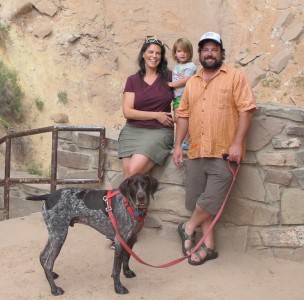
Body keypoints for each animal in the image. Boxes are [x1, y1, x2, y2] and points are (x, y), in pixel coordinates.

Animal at [25, 175, 159, 294]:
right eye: (133, 185)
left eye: (145, 184)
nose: (141, 197)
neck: (130, 205)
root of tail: (49, 195)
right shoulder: (119, 241)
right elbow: (116, 269)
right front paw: (118, 288)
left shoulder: (131, 238)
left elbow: (127, 259)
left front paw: (127, 272)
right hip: (60, 235)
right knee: (48, 263)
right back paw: (54, 290)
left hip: (54, 233)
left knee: (43, 256)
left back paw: (52, 275)